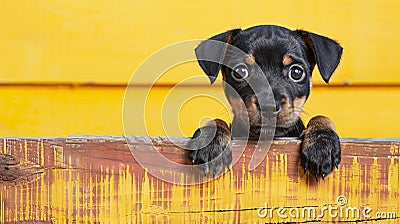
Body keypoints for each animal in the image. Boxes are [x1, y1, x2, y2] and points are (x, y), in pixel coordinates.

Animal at [188, 25, 340, 181]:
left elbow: (321, 116)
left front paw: (321, 143)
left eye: (297, 72)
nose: (269, 107)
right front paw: (210, 141)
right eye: (240, 71)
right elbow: (216, 120)